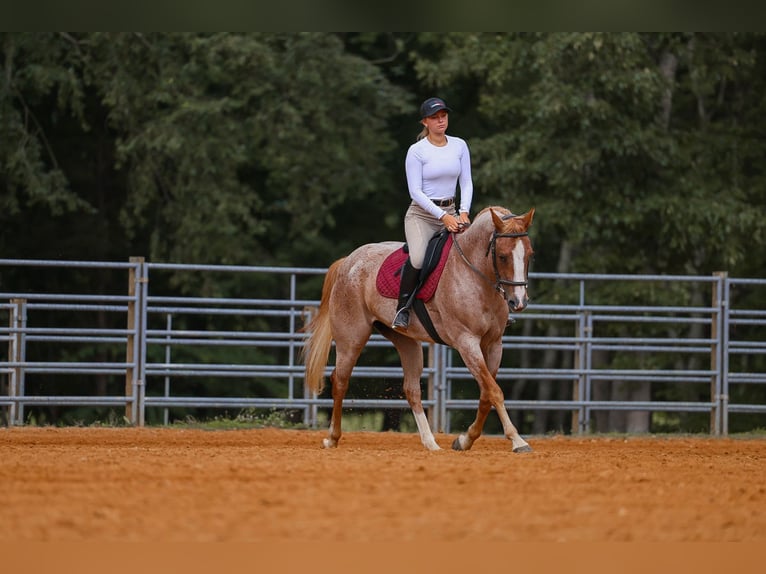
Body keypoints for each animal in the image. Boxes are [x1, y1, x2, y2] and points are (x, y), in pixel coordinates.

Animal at [302, 205, 535, 452]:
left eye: (530, 255)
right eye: (502, 256)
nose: (519, 302)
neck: (474, 274)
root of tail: (348, 261)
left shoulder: (494, 344)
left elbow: (486, 393)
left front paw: (465, 440)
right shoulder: (467, 342)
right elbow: (494, 391)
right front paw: (517, 440)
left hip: (406, 342)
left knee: (411, 389)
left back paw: (430, 442)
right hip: (351, 339)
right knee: (340, 381)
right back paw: (332, 438)